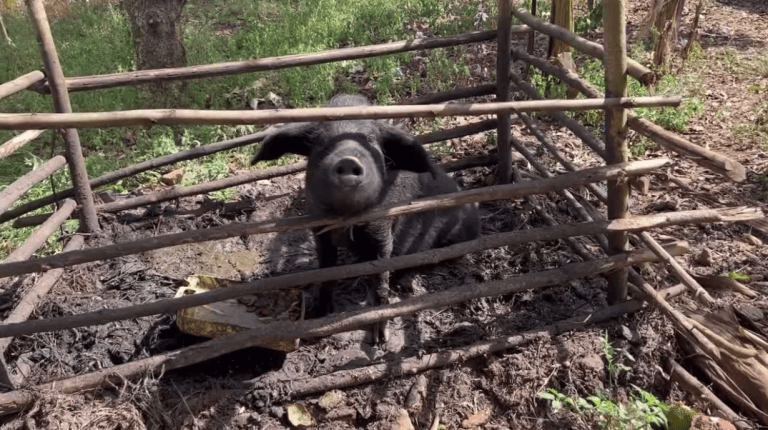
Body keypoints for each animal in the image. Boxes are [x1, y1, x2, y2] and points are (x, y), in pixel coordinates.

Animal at [251, 94, 480, 347]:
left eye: (370, 139)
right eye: (321, 141)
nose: (348, 159)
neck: (346, 219)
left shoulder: (383, 227)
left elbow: (380, 275)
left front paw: (378, 339)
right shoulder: (319, 228)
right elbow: (325, 271)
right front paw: (318, 316)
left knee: (426, 260)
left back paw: (401, 283)